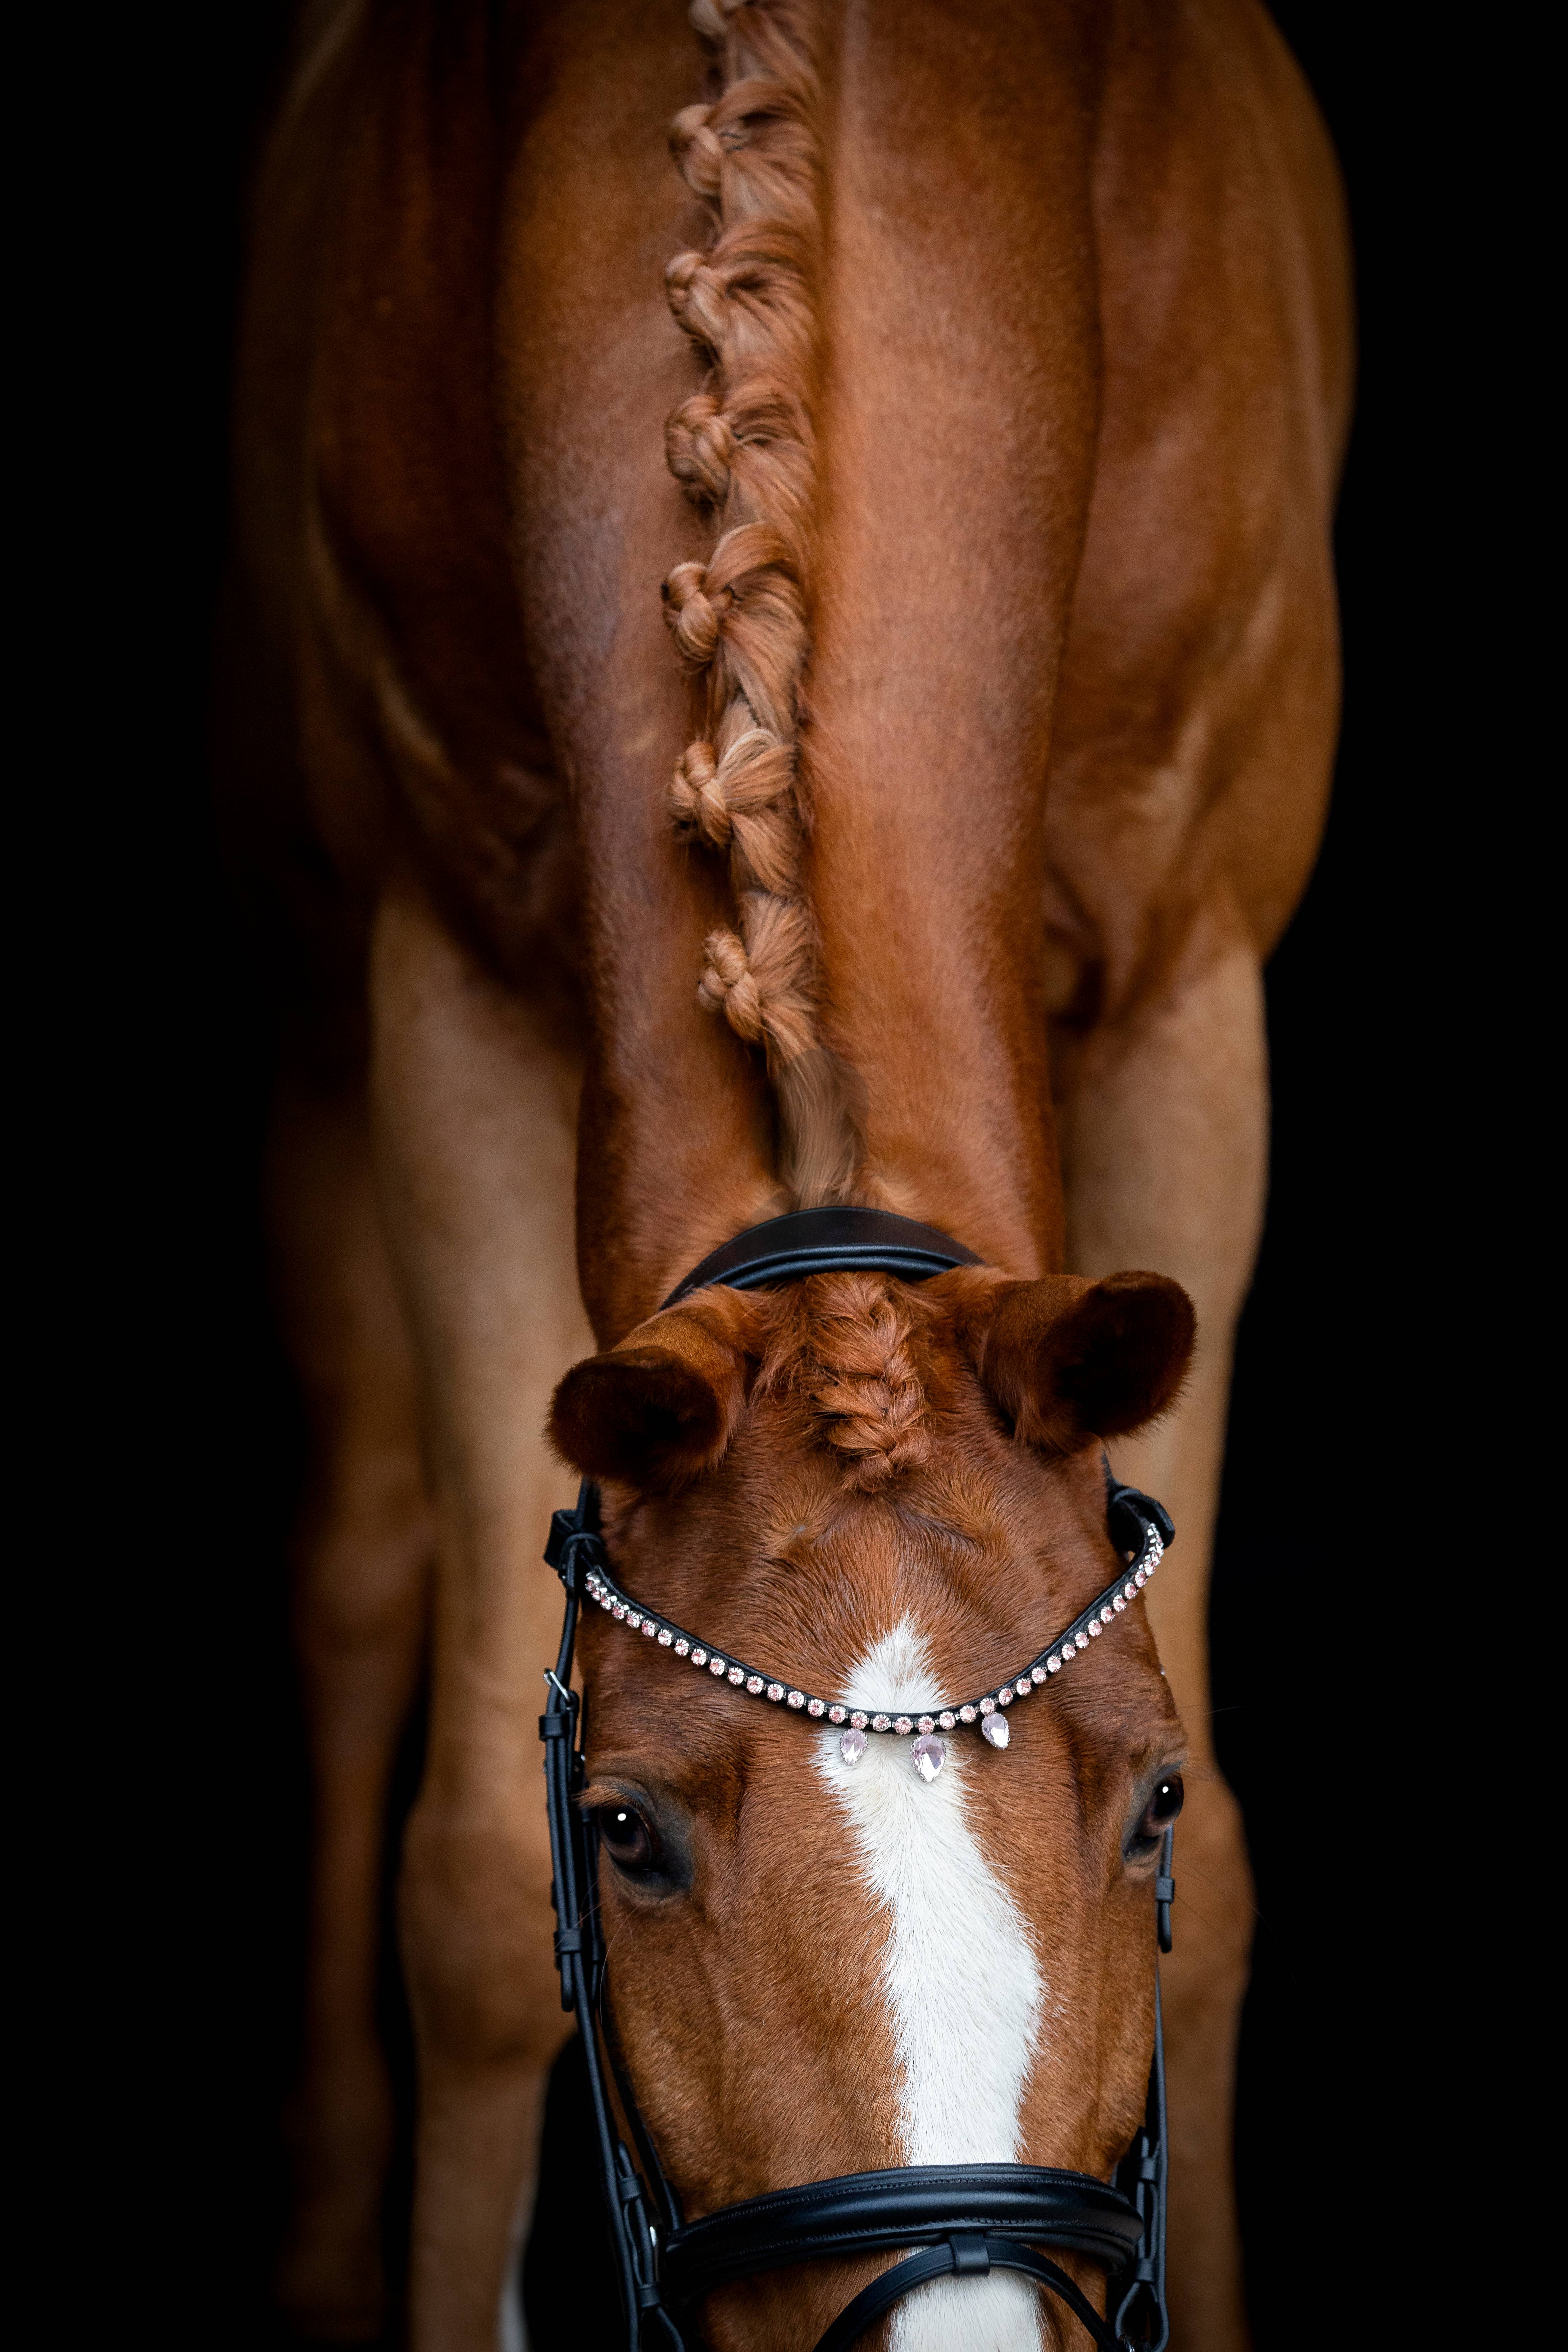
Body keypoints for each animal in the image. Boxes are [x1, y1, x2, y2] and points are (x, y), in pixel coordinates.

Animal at [226, 1, 1349, 2344]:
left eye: (1147, 1798)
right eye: (633, 1834)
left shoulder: (1196, 995)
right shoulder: (448, 1001)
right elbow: (476, 1886)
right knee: (360, 1574)